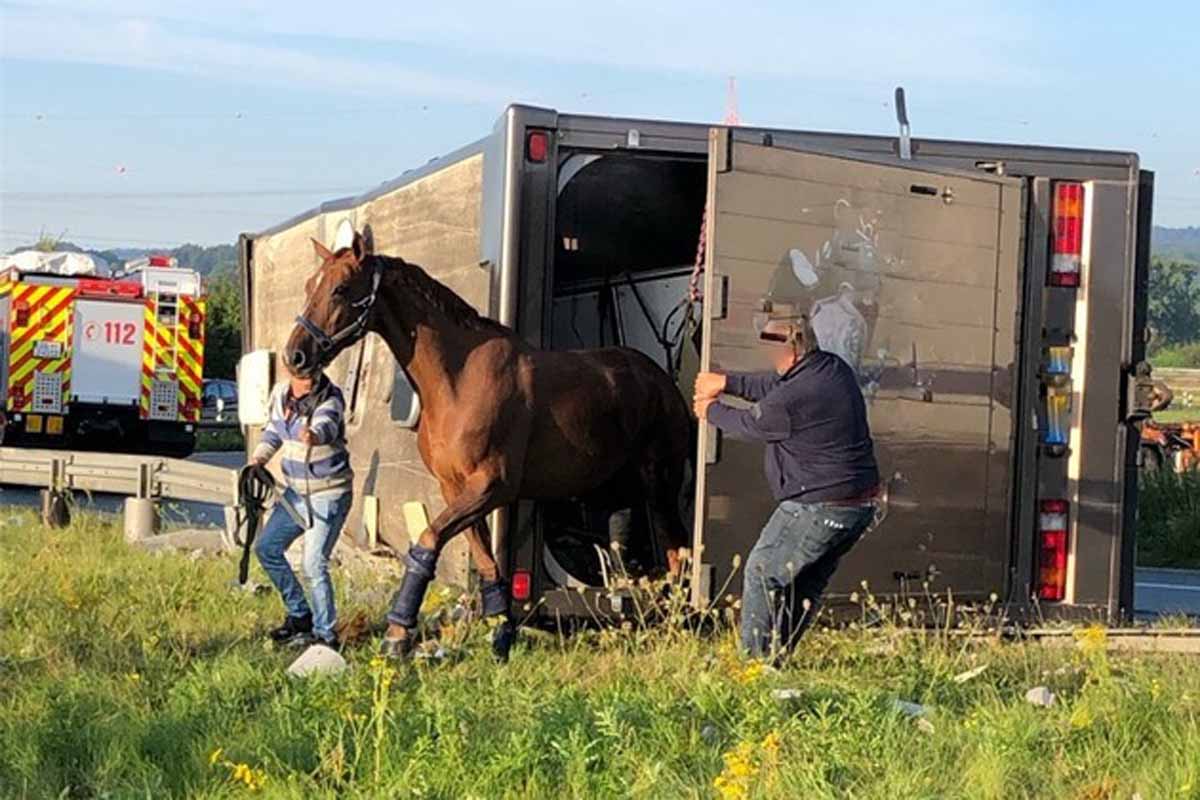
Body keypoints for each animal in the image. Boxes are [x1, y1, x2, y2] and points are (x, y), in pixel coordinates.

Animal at [285, 232, 693, 659]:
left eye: (341, 288)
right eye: (309, 286)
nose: (295, 356)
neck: (459, 379)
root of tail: (661, 380)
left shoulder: (492, 486)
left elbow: (428, 541)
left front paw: (398, 635)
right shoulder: (457, 489)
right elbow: (484, 562)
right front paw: (501, 634)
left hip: (660, 486)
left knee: (677, 551)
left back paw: (676, 626)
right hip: (614, 491)